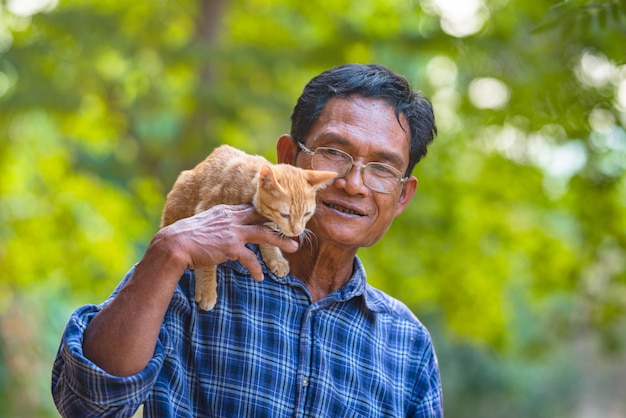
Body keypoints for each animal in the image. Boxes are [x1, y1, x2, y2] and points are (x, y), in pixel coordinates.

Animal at [161, 144, 336, 310]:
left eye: (307, 214)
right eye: (285, 214)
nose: (297, 231)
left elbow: (268, 236)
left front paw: (275, 258)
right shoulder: (206, 212)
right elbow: (208, 259)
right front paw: (207, 290)